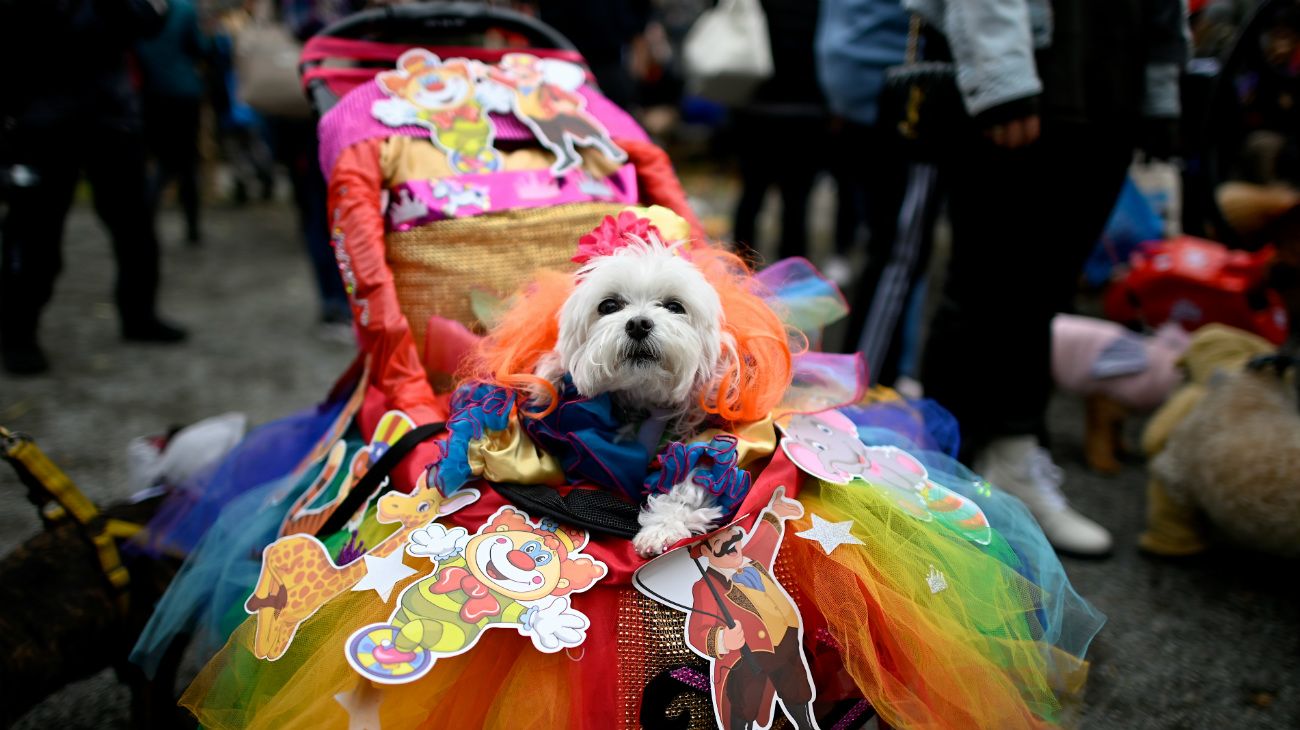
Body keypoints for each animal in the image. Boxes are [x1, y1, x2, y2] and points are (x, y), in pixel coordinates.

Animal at [535, 232, 733, 550]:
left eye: (675, 307)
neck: (643, 395)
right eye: (608, 306)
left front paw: (661, 528)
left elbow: (694, 477)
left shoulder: (708, 442)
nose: (639, 323)